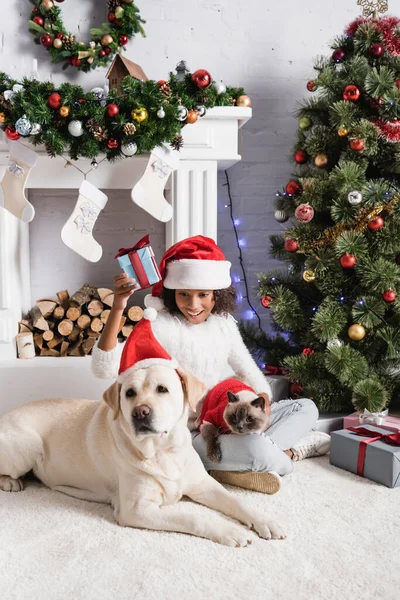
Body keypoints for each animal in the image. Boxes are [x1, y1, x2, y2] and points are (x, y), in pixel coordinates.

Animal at [0, 364, 286, 548]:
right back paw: (12, 482)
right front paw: (228, 530)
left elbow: (237, 501)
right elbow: (193, 516)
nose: (140, 412)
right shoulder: (137, 509)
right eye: (129, 393)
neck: (162, 450)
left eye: (162, 389)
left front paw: (265, 521)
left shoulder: (204, 485)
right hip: (29, 446)